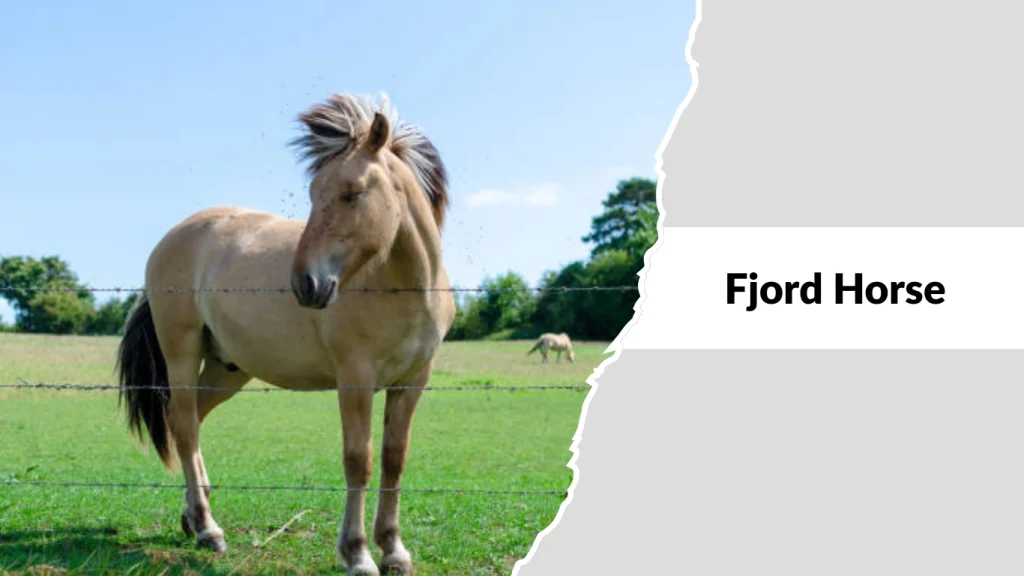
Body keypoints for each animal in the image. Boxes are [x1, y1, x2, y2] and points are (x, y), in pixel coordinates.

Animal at [115, 92, 454, 576]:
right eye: (313, 195)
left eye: (353, 193)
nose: (307, 284)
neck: (401, 286)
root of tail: (171, 239)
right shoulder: (355, 379)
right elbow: (359, 461)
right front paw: (357, 553)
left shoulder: (412, 382)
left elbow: (394, 459)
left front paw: (393, 549)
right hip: (182, 353)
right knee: (183, 426)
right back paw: (207, 528)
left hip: (227, 369)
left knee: (190, 423)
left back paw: (193, 517)